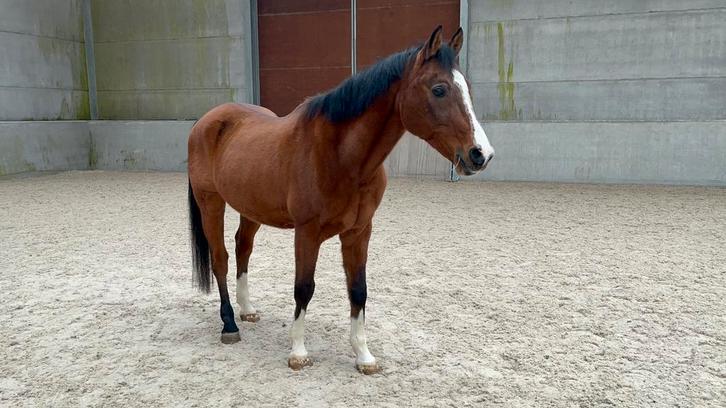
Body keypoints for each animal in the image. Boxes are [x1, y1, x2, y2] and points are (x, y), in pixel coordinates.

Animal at [187, 25, 494, 374]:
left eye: (466, 88)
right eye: (439, 89)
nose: (481, 154)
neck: (341, 156)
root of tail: (207, 121)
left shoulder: (359, 232)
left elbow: (358, 290)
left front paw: (364, 355)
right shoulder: (307, 233)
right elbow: (304, 288)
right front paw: (298, 352)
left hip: (250, 208)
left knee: (243, 249)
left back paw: (247, 309)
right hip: (211, 203)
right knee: (221, 259)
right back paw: (229, 324)